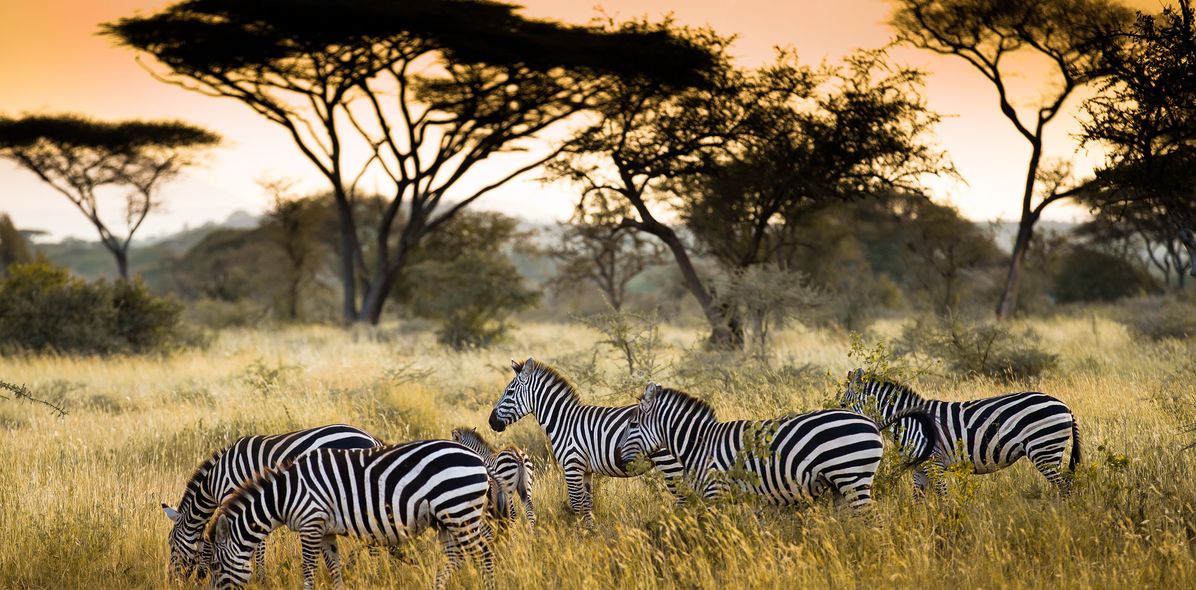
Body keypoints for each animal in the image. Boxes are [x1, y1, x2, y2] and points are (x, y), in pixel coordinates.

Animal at [161, 423, 380, 579]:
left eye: (171, 542)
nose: (172, 579)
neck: (215, 481)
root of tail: (371, 438)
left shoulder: (234, 496)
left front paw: (259, 577)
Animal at [206, 440, 504, 588]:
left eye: (215, 567)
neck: (285, 493)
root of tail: (478, 458)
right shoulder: (324, 530)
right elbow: (333, 567)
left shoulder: (311, 523)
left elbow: (308, 568)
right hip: (446, 518)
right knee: (456, 557)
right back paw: (437, 586)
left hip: (459, 510)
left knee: (484, 553)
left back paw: (489, 585)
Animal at [487, 356, 684, 526]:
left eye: (509, 392)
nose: (491, 421)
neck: (564, 421)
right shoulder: (586, 470)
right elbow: (588, 505)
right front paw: (590, 533)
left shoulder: (572, 466)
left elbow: (576, 505)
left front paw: (579, 536)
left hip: (670, 463)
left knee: (683, 499)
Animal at [621, 382, 937, 505]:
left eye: (633, 424)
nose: (622, 461)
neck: (699, 444)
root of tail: (871, 423)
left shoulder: (716, 492)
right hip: (842, 483)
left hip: (852, 476)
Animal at [841, 368, 1085, 497]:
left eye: (843, 403)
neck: (910, 422)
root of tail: (1065, 405)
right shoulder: (919, 468)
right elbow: (917, 500)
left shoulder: (934, 463)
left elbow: (942, 498)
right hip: (1050, 451)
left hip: (1044, 450)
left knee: (1066, 488)